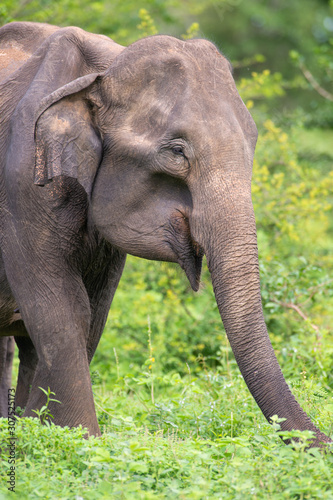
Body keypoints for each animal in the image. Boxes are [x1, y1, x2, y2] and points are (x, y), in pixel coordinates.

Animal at [0, 20, 328, 446]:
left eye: (253, 144)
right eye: (176, 152)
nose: (322, 446)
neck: (104, 70)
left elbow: (93, 310)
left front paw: (42, 430)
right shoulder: (21, 182)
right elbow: (59, 306)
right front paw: (77, 441)